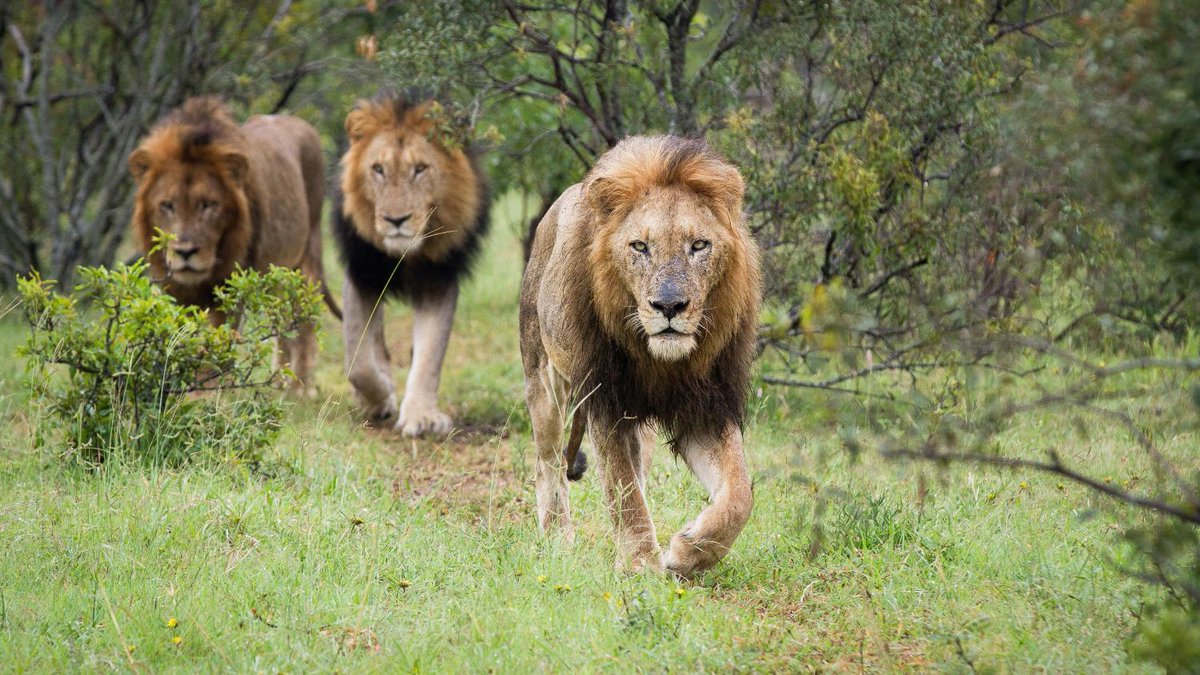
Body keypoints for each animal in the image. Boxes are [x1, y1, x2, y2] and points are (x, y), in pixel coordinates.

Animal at [128, 97, 338, 391]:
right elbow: (182, 339)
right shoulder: (174, 290)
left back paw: (300, 389)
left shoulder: (229, 289)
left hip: (308, 253)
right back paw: (279, 383)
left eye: (209, 204)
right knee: (282, 322)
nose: (185, 252)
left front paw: (208, 393)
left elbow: (215, 346)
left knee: (304, 321)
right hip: (277, 275)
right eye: (167, 205)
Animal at [333, 95, 490, 437]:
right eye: (378, 169)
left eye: (420, 169)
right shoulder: (363, 273)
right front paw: (379, 400)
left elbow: (430, 353)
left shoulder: (438, 279)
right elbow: (358, 361)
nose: (396, 220)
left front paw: (422, 416)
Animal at [520, 135, 762, 579]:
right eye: (640, 246)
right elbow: (622, 489)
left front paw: (687, 552)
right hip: (542, 377)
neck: (661, 360)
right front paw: (640, 566)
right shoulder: (606, 401)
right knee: (548, 463)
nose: (669, 306)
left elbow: (739, 494)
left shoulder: (707, 406)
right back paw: (557, 538)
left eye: (699, 245)